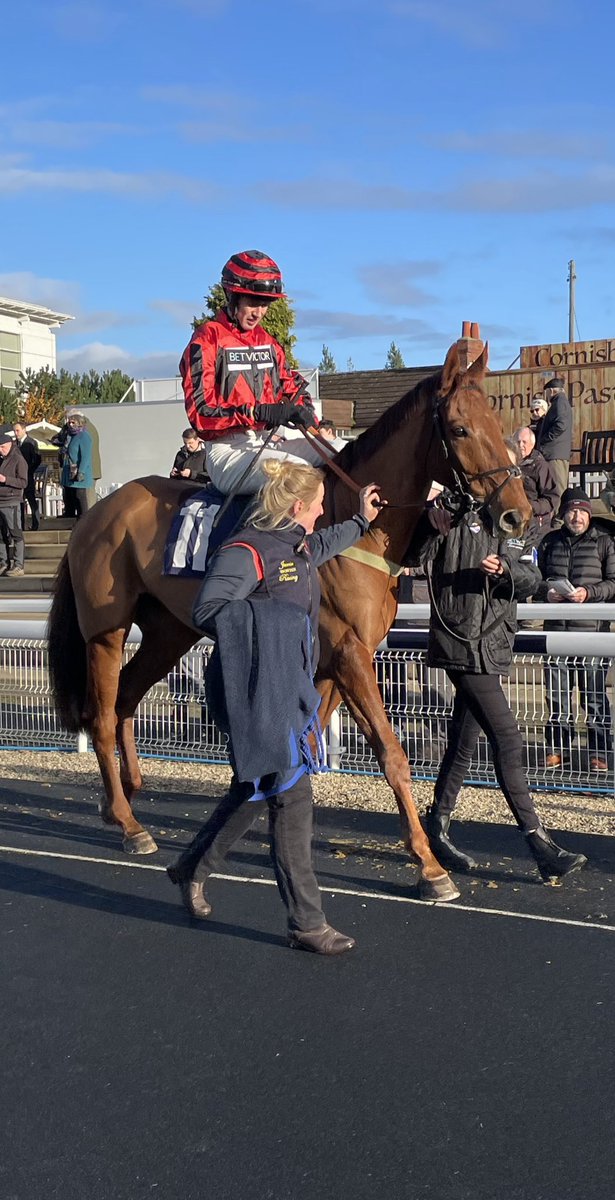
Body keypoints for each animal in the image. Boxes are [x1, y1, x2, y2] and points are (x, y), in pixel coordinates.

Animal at [48, 338, 530, 902]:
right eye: (458, 429)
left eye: (499, 424)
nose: (518, 514)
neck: (355, 529)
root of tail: (94, 513)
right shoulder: (349, 655)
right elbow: (391, 755)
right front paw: (430, 867)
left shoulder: (333, 663)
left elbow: (307, 743)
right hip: (106, 630)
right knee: (101, 712)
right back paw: (128, 824)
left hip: (169, 632)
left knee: (125, 697)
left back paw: (122, 798)